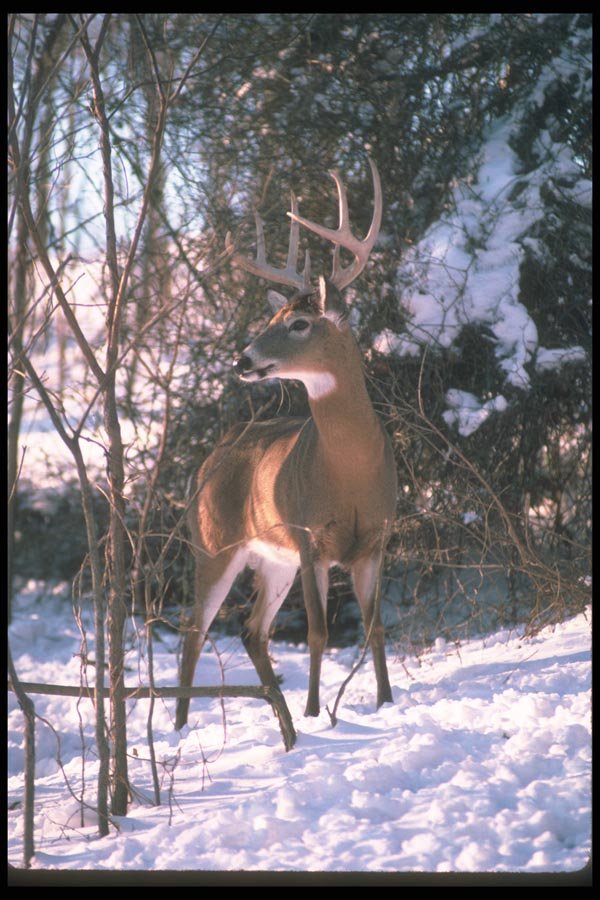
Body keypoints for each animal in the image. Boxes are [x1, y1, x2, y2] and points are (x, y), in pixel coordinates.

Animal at [176, 160, 397, 748]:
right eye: (274, 320)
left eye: (299, 323)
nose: (242, 359)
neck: (350, 473)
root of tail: (208, 462)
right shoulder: (309, 535)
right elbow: (319, 631)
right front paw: (318, 712)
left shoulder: (376, 540)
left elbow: (375, 626)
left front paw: (388, 703)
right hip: (212, 543)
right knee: (196, 629)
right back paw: (180, 728)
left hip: (271, 559)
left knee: (253, 630)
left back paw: (275, 706)